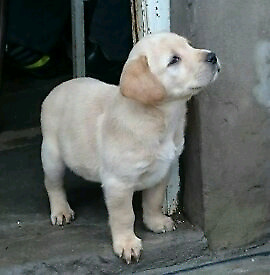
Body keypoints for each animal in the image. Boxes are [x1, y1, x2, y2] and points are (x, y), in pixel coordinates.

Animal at [41, 32, 220, 264]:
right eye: (174, 60)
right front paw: (126, 244)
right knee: (53, 184)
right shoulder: (118, 183)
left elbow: (153, 200)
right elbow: (124, 216)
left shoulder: (162, 170)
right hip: (52, 155)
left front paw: (155, 222)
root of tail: (60, 86)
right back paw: (61, 210)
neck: (160, 118)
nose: (213, 56)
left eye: (190, 45)